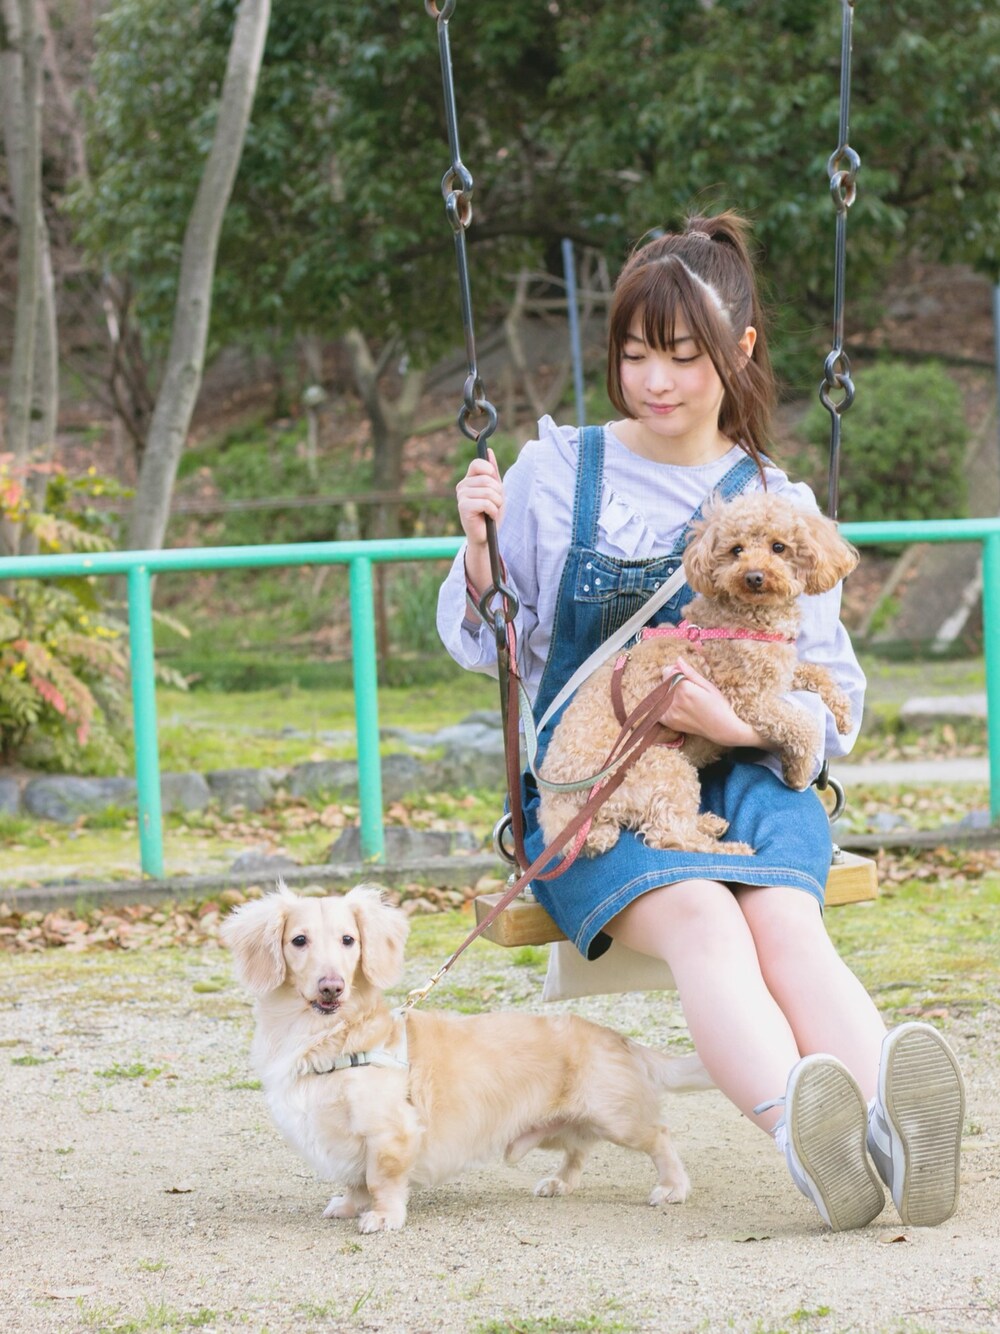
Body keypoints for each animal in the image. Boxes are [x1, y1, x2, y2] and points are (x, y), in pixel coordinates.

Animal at [220, 882, 710, 1233]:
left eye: (348, 940)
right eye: (299, 940)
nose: (331, 987)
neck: (327, 1039)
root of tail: (617, 1037)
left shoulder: (388, 1134)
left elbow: (380, 1180)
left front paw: (383, 1216)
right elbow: (355, 1180)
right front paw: (349, 1204)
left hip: (618, 1118)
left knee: (659, 1137)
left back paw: (673, 1186)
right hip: (562, 1128)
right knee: (577, 1150)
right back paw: (559, 1183)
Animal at [538, 491, 859, 858]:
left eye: (779, 547)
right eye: (736, 550)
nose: (754, 576)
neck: (746, 619)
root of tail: (563, 813)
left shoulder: (779, 675)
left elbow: (815, 672)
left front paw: (843, 715)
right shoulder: (745, 700)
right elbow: (802, 724)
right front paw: (799, 771)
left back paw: (708, 823)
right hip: (660, 765)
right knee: (669, 834)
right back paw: (732, 850)